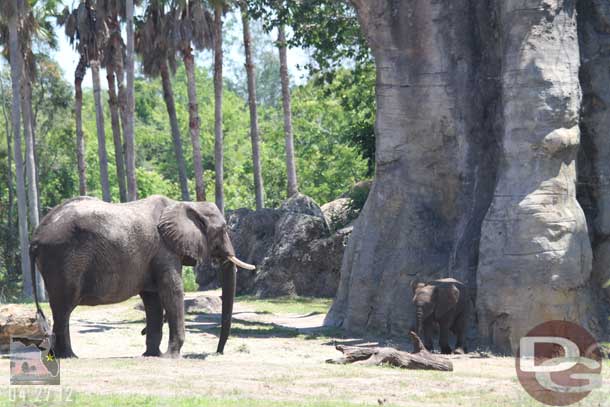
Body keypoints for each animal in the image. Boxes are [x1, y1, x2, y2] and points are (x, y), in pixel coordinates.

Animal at [29, 196, 253, 358]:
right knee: (64, 308)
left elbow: (153, 299)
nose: (217, 352)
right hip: (63, 259)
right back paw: (68, 356)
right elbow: (172, 291)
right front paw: (171, 357)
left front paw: (152, 355)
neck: (186, 204)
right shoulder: (164, 250)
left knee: (61, 309)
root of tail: (36, 236)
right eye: (223, 229)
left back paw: (58, 356)